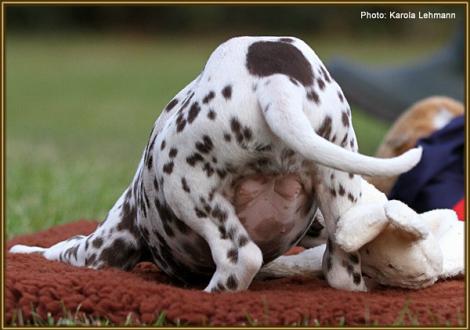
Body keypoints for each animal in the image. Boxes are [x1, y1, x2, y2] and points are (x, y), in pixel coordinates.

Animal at [10, 37, 422, 292]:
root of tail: (275, 83)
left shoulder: (102, 247)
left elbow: (59, 249)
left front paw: (24, 251)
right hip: (337, 186)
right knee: (340, 269)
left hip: (188, 185)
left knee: (242, 258)